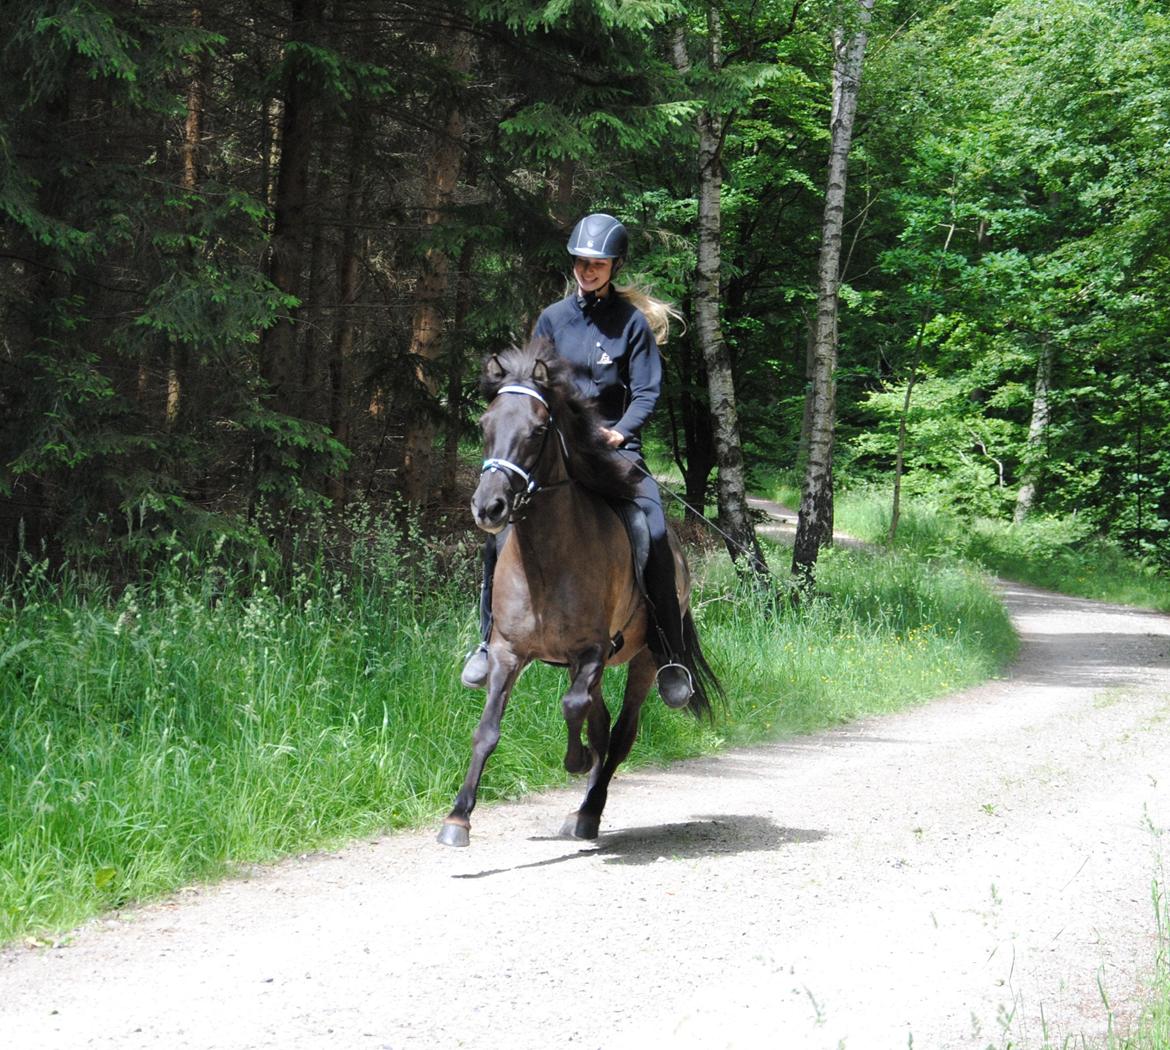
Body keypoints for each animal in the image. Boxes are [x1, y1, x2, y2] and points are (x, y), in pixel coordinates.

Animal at [437, 339, 716, 847]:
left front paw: (576, 759)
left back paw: (589, 809)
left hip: (643, 660)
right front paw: (457, 818)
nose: (489, 507)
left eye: (537, 430)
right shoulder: (508, 652)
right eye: (485, 425)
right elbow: (487, 730)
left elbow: (574, 708)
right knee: (602, 724)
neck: (546, 561)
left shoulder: (590, 651)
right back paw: (585, 810)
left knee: (621, 732)